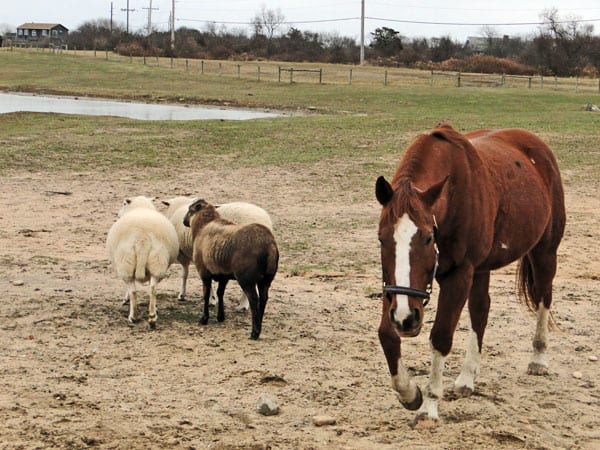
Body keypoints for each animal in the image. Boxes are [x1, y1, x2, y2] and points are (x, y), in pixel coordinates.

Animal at [106, 195, 179, 328]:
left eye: (124, 203)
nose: (117, 214)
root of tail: (142, 238)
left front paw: (125, 299)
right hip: (157, 261)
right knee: (152, 288)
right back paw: (152, 316)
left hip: (125, 263)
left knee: (133, 291)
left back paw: (133, 317)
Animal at [183, 199, 278, 340]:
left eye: (190, 209)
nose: (183, 221)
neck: (203, 226)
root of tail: (269, 245)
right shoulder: (223, 275)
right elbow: (220, 293)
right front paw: (220, 317)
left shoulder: (204, 272)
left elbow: (206, 294)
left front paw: (204, 319)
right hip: (266, 279)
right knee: (263, 298)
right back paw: (259, 327)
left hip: (246, 278)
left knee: (254, 299)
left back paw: (254, 333)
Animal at [378, 124, 564, 428]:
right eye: (382, 239)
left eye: (428, 238)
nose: (407, 319)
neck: (453, 194)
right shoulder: (395, 288)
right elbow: (387, 335)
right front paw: (409, 393)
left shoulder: (459, 274)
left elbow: (441, 337)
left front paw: (429, 406)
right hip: (482, 268)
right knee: (481, 309)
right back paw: (467, 377)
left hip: (545, 251)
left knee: (543, 299)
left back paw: (539, 358)